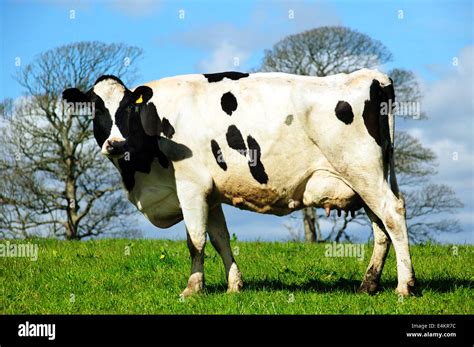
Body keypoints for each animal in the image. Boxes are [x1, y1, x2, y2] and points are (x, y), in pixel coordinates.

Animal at [62, 69, 414, 298]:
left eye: (127, 109)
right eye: (95, 108)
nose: (115, 144)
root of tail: (371, 76)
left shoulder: (190, 185)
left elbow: (195, 241)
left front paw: (193, 288)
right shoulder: (211, 192)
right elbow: (220, 239)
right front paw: (234, 286)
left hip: (364, 172)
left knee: (393, 215)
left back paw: (405, 286)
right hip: (364, 179)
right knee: (381, 228)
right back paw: (368, 285)